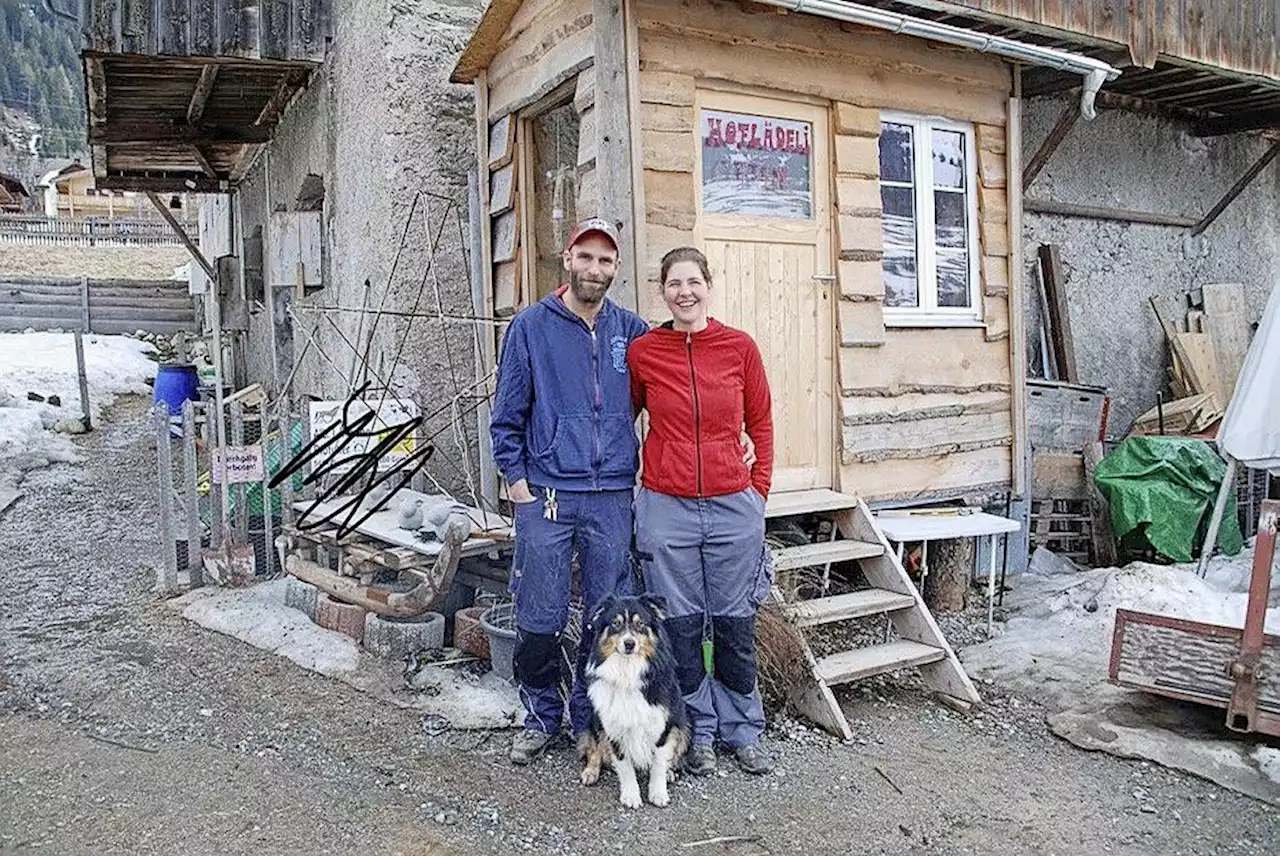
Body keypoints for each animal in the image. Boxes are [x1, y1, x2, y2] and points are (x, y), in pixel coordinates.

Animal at [578, 593, 691, 808]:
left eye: (640, 624)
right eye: (615, 623)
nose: (629, 644)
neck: (627, 670)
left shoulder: (663, 725)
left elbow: (658, 763)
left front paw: (658, 793)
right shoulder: (614, 728)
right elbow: (624, 765)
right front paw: (631, 796)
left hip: (684, 723)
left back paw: (670, 771)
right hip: (594, 719)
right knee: (594, 748)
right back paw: (590, 772)